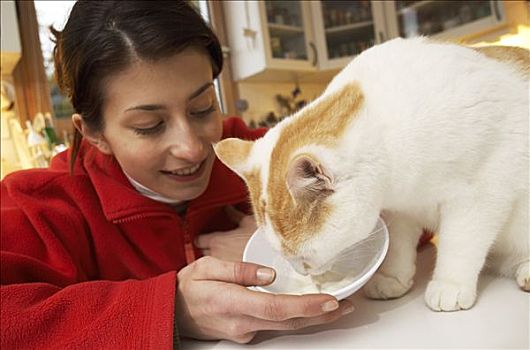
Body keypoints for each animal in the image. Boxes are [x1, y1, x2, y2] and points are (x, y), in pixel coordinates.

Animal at [212, 38, 524, 312]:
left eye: (303, 256)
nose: (302, 273)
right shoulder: (399, 210)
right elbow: (399, 245)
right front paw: (393, 278)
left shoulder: (479, 191)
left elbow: (460, 242)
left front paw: (450, 284)